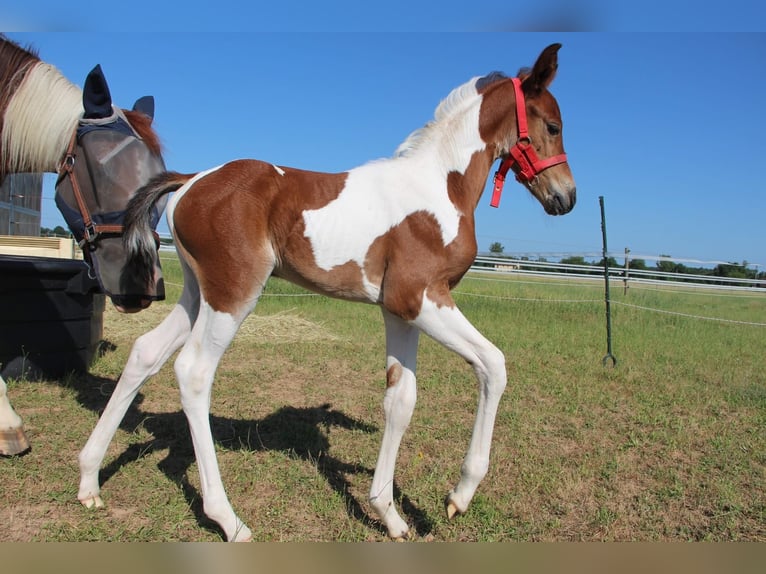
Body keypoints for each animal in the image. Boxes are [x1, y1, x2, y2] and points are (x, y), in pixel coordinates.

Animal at [77, 43, 576, 541]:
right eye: (553, 126)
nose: (566, 198)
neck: (439, 186)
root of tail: (192, 179)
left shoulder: (398, 311)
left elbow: (401, 400)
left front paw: (389, 514)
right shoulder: (420, 298)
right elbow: (493, 365)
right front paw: (459, 495)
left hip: (198, 294)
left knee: (145, 352)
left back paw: (88, 480)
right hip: (233, 294)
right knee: (194, 372)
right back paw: (228, 519)